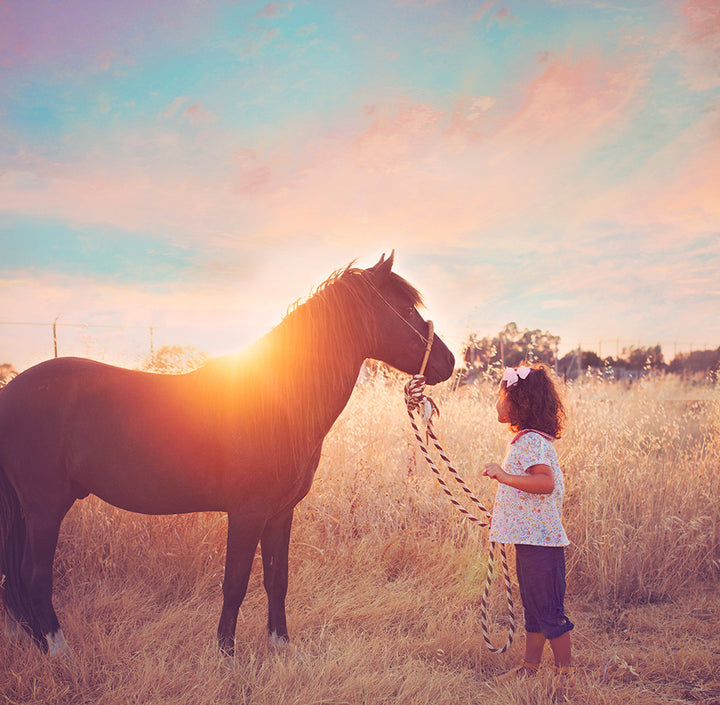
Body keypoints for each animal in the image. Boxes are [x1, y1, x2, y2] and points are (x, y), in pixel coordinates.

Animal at [0, 253, 450, 656]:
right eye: (406, 308)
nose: (448, 363)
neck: (277, 402)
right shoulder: (246, 512)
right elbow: (235, 581)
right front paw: (225, 653)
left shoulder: (280, 512)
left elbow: (277, 579)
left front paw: (280, 646)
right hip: (44, 507)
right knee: (33, 577)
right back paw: (59, 650)